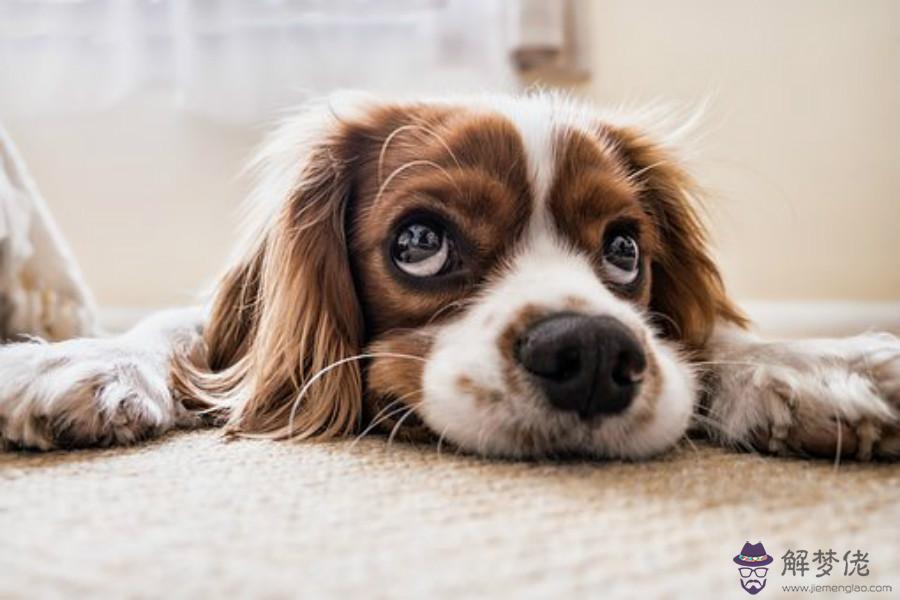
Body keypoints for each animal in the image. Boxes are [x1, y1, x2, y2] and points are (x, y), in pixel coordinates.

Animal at [1, 92, 900, 460]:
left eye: (624, 251)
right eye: (420, 241)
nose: (593, 353)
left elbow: (711, 337)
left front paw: (815, 366)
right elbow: (181, 331)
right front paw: (78, 361)